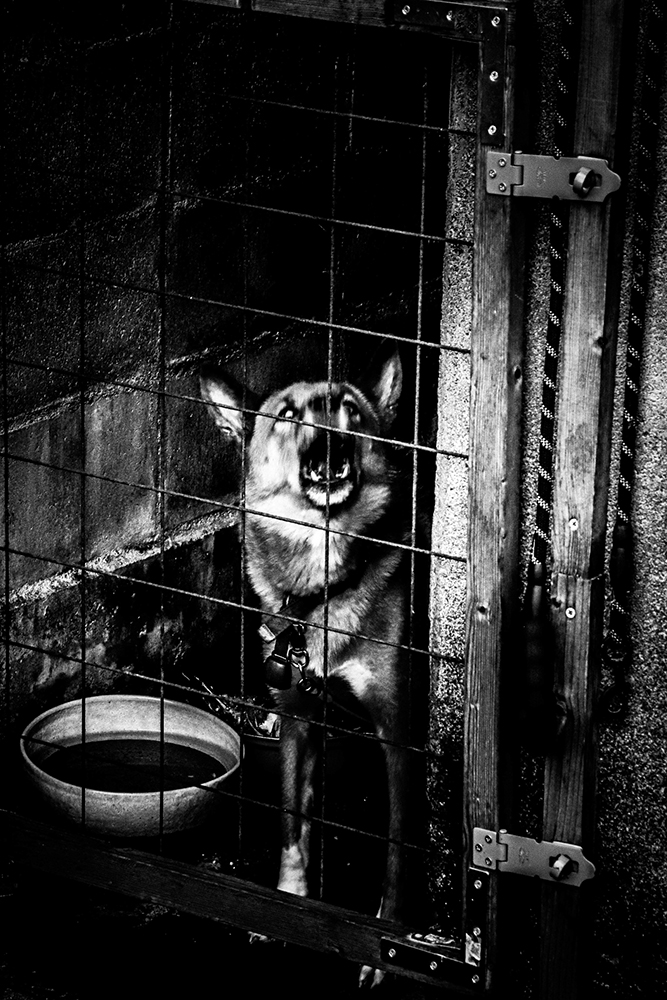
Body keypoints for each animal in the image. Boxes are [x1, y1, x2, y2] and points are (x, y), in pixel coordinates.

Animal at [201, 352, 420, 986]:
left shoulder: (400, 735)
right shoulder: (297, 717)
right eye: (288, 414)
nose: (329, 442)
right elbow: (291, 828)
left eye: (350, 409)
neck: (319, 588)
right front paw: (286, 909)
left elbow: (398, 850)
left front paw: (385, 943)